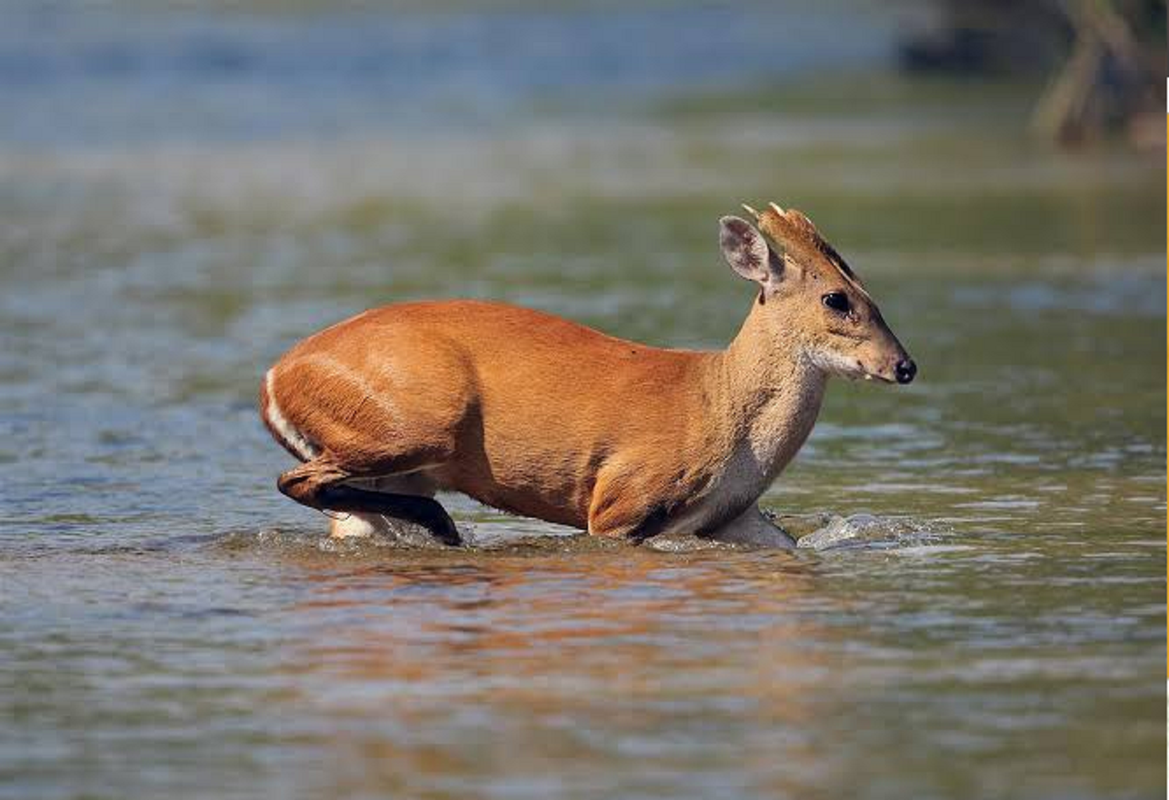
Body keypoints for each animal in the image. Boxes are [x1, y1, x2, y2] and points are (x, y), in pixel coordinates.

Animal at [260, 203, 916, 547]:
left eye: (869, 291)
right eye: (836, 299)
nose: (904, 366)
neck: (718, 405)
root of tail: (274, 378)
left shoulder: (736, 519)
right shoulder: (620, 498)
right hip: (412, 422)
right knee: (297, 480)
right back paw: (444, 525)